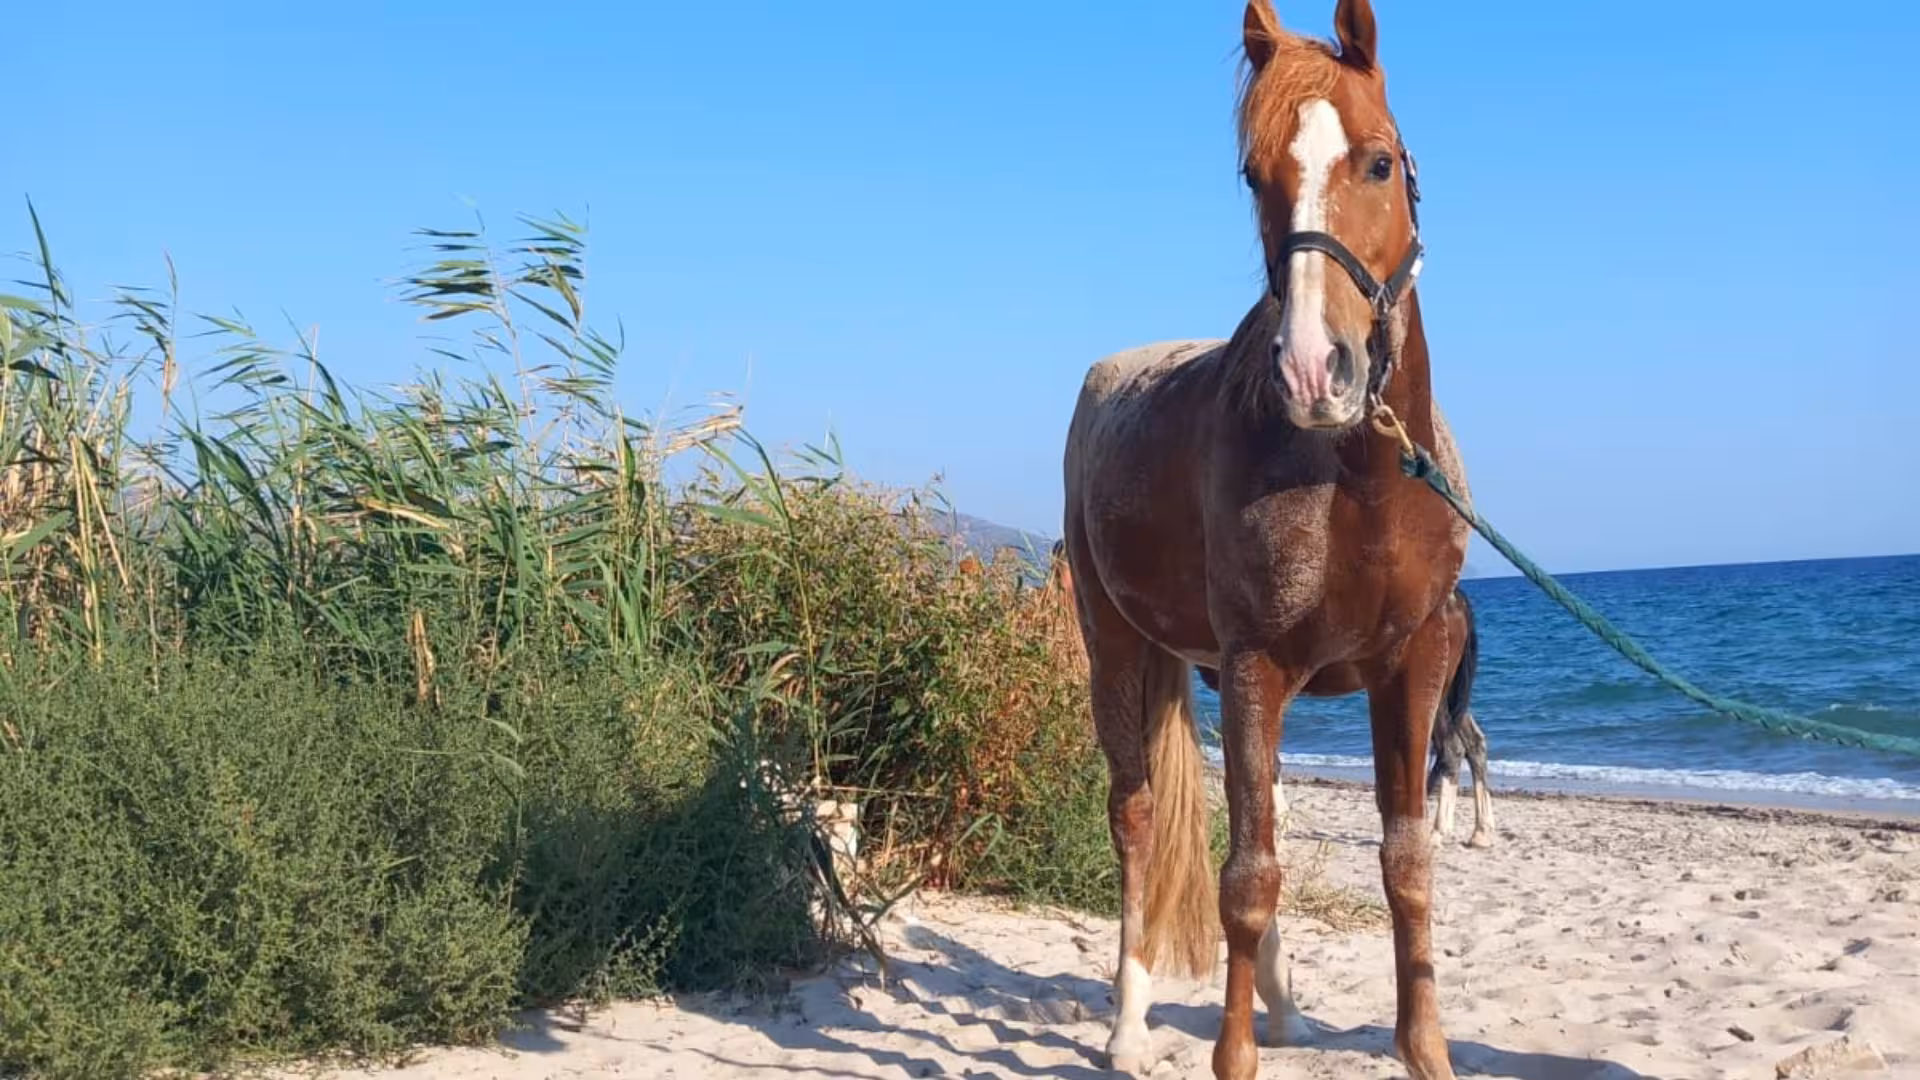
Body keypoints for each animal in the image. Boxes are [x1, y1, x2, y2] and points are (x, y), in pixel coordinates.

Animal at [1060, 2, 1470, 1076]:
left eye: (1379, 162)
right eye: (1255, 176)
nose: (1315, 369)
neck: (1359, 479)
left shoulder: (1413, 665)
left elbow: (1405, 863)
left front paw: (1426, 1050)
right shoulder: (1252, 669)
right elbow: (1243, 880)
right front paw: (1230, 1056)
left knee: (1267, 815)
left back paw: (1285, 1010)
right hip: (1118, 654)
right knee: (1137, 819)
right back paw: (1129, 1025)